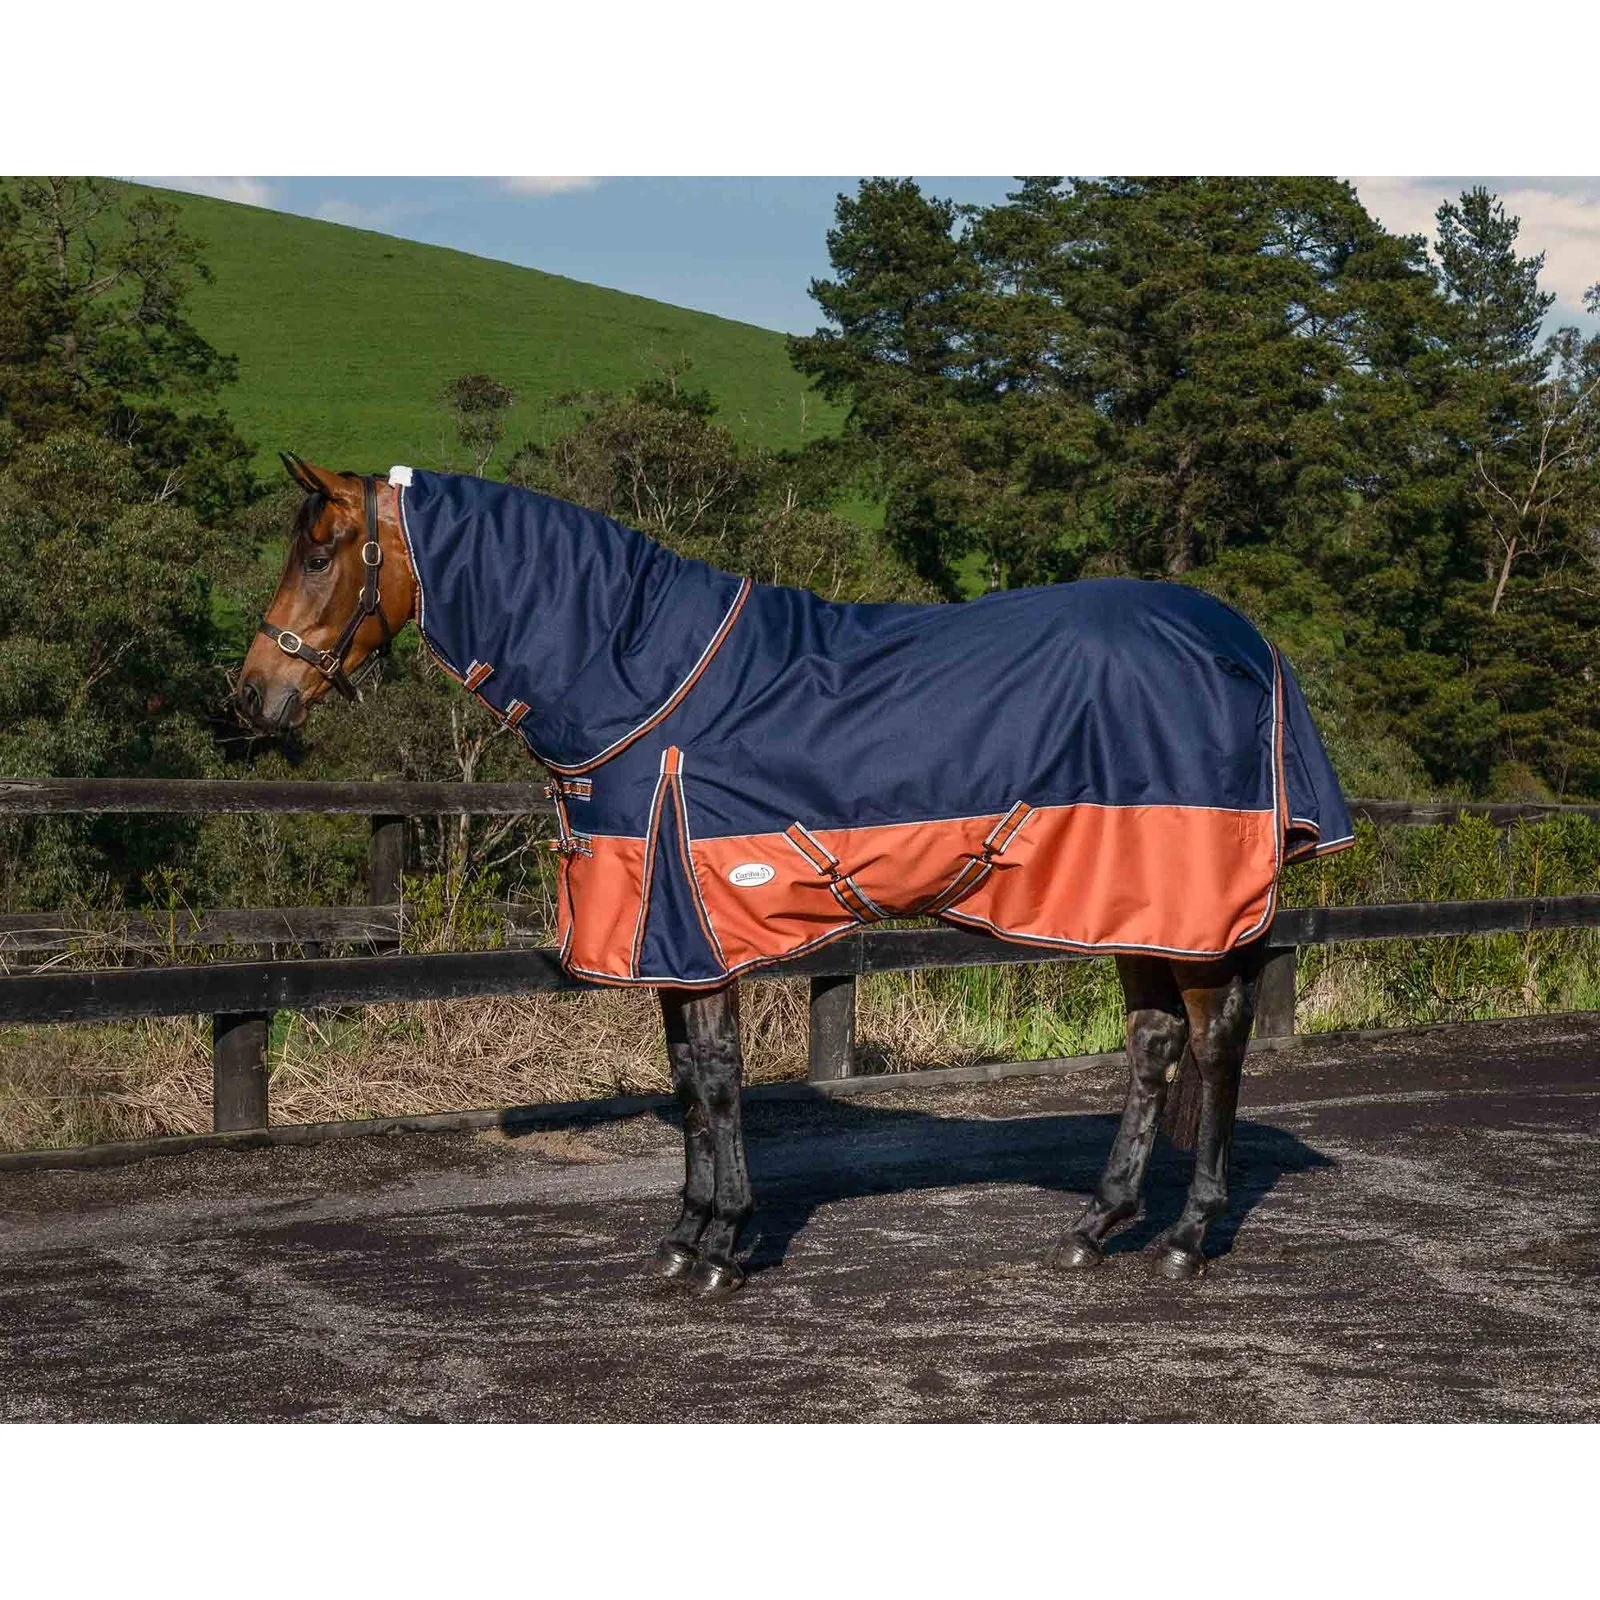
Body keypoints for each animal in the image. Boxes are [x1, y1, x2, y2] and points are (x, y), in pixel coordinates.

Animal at [236, 455, 1353, 1299]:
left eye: (320, 552)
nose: (253, 697)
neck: (641, 680)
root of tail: (1250, 645)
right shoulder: (672, 938)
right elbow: (689, 1079)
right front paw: (687, 1236)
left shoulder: (689, 921)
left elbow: (720, 1081)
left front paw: (723, 1248)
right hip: (1131, 908)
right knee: (1154, 1044)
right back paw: (1097, 1225)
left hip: (1187, 907)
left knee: (1213, 1045)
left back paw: (1187, 1239)